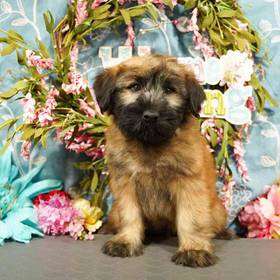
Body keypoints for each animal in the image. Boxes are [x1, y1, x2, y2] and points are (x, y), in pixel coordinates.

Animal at [93, 54, 228, 266]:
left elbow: (191, 218)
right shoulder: (126, 183)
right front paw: (126, 241)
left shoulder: (189, 183)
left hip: (217, 211)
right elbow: (129, 215)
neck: (150, 145)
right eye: (134, 86)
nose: (150, 116)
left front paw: (194, 249)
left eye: (169, 90)